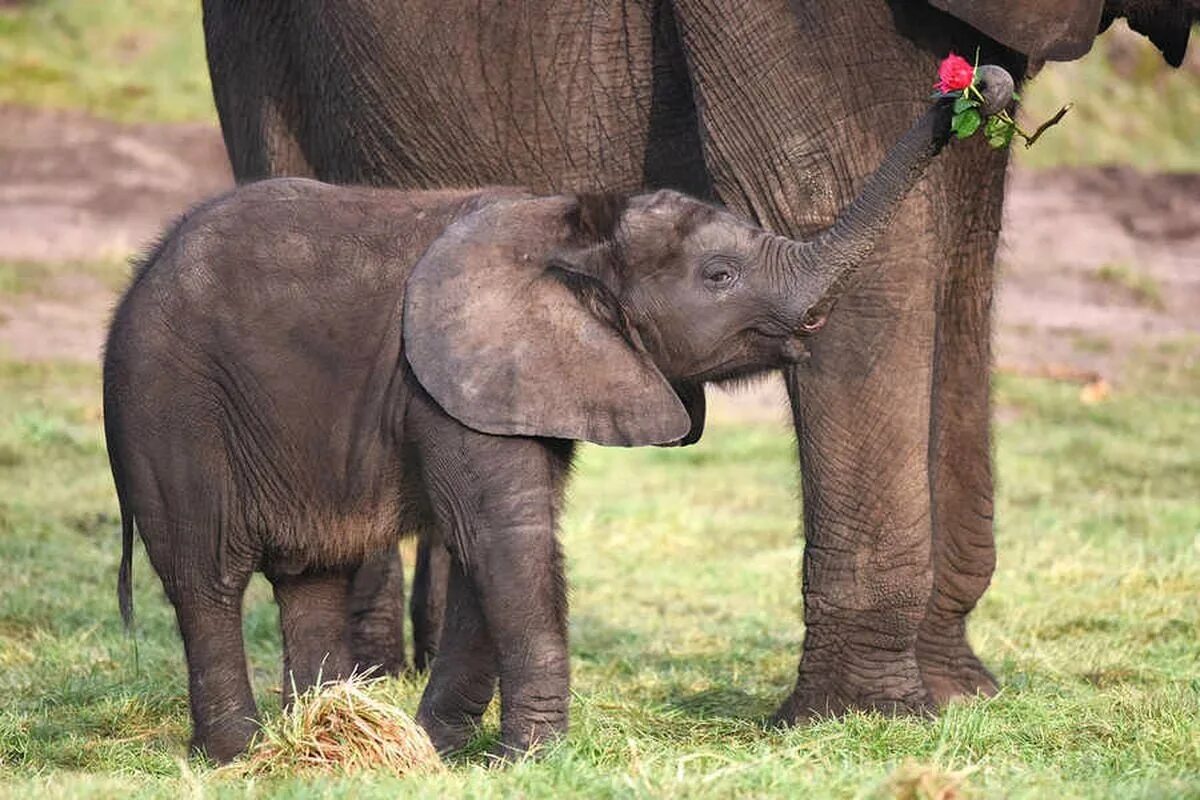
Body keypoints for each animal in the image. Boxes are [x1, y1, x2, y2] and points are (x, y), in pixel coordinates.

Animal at [108, 73, 1017, 762]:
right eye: (719, 275)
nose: (980, 85)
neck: (575, 227)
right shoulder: (452, 379)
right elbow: (503, 538)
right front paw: (529, 759)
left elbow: (501, 542)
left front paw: (443, 752)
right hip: (170, 404)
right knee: (205, 575)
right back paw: (235, 754)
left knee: (312, 577)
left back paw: (318, 741)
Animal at [201, 0, 1185, 714]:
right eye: (716, 274)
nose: (976, 83)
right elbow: (833, 201)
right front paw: (864, 718)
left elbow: (964, 248)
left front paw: (960, 699)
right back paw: (356, 692)